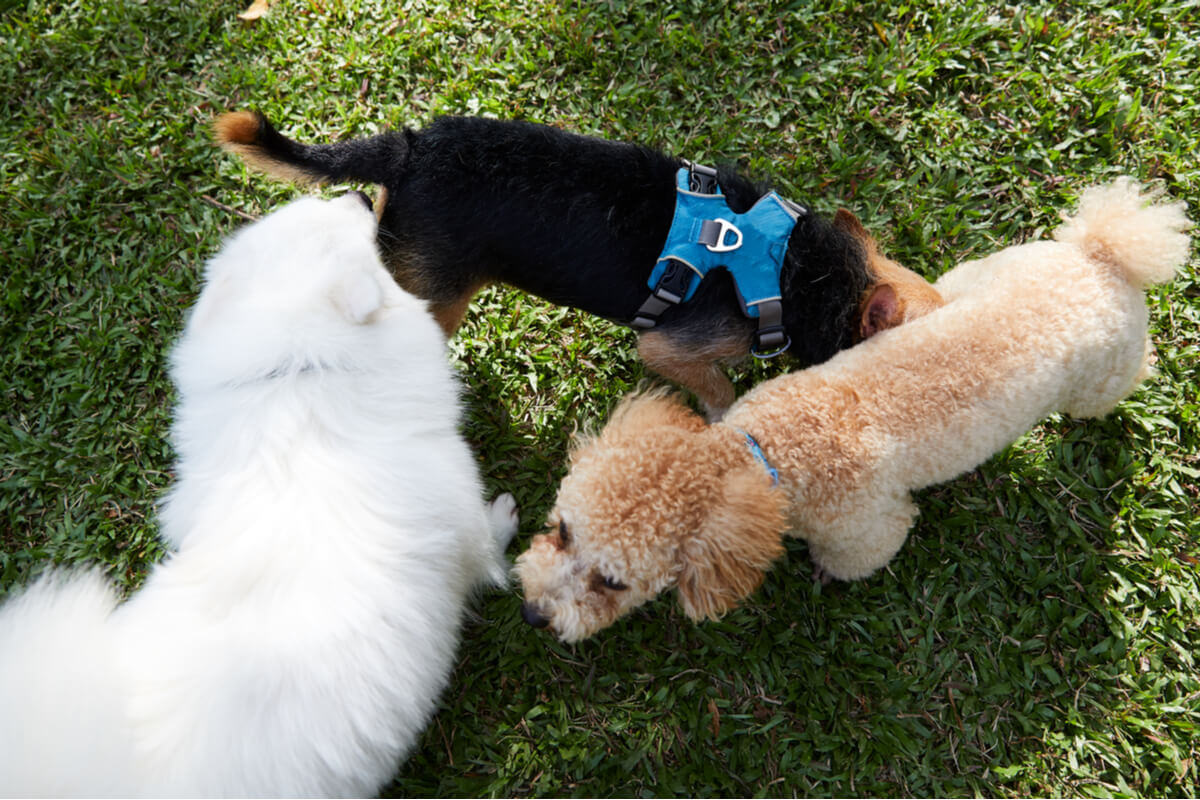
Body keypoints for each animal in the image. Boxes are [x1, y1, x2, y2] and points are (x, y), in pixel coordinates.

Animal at [0, 191, 513, 796]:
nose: (361, 194)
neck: (297, 373)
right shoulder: (463, 515)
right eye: (352, 236)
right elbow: (490, 546)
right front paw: (509, 519)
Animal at [218, 112, 945, 417]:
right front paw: (727, 420)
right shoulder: (676, 350)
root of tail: (408, 148)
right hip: (436, 295)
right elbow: (718, 391)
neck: (801, 268)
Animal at [516, 179, 1190, 642]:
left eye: (612, 583)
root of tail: (1103, 256)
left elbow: (862, 553)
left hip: (1101, 379)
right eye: (562, 530)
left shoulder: (869, 527)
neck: (769, 448)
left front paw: (824, 575)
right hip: (982, 272)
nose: (530, 613)